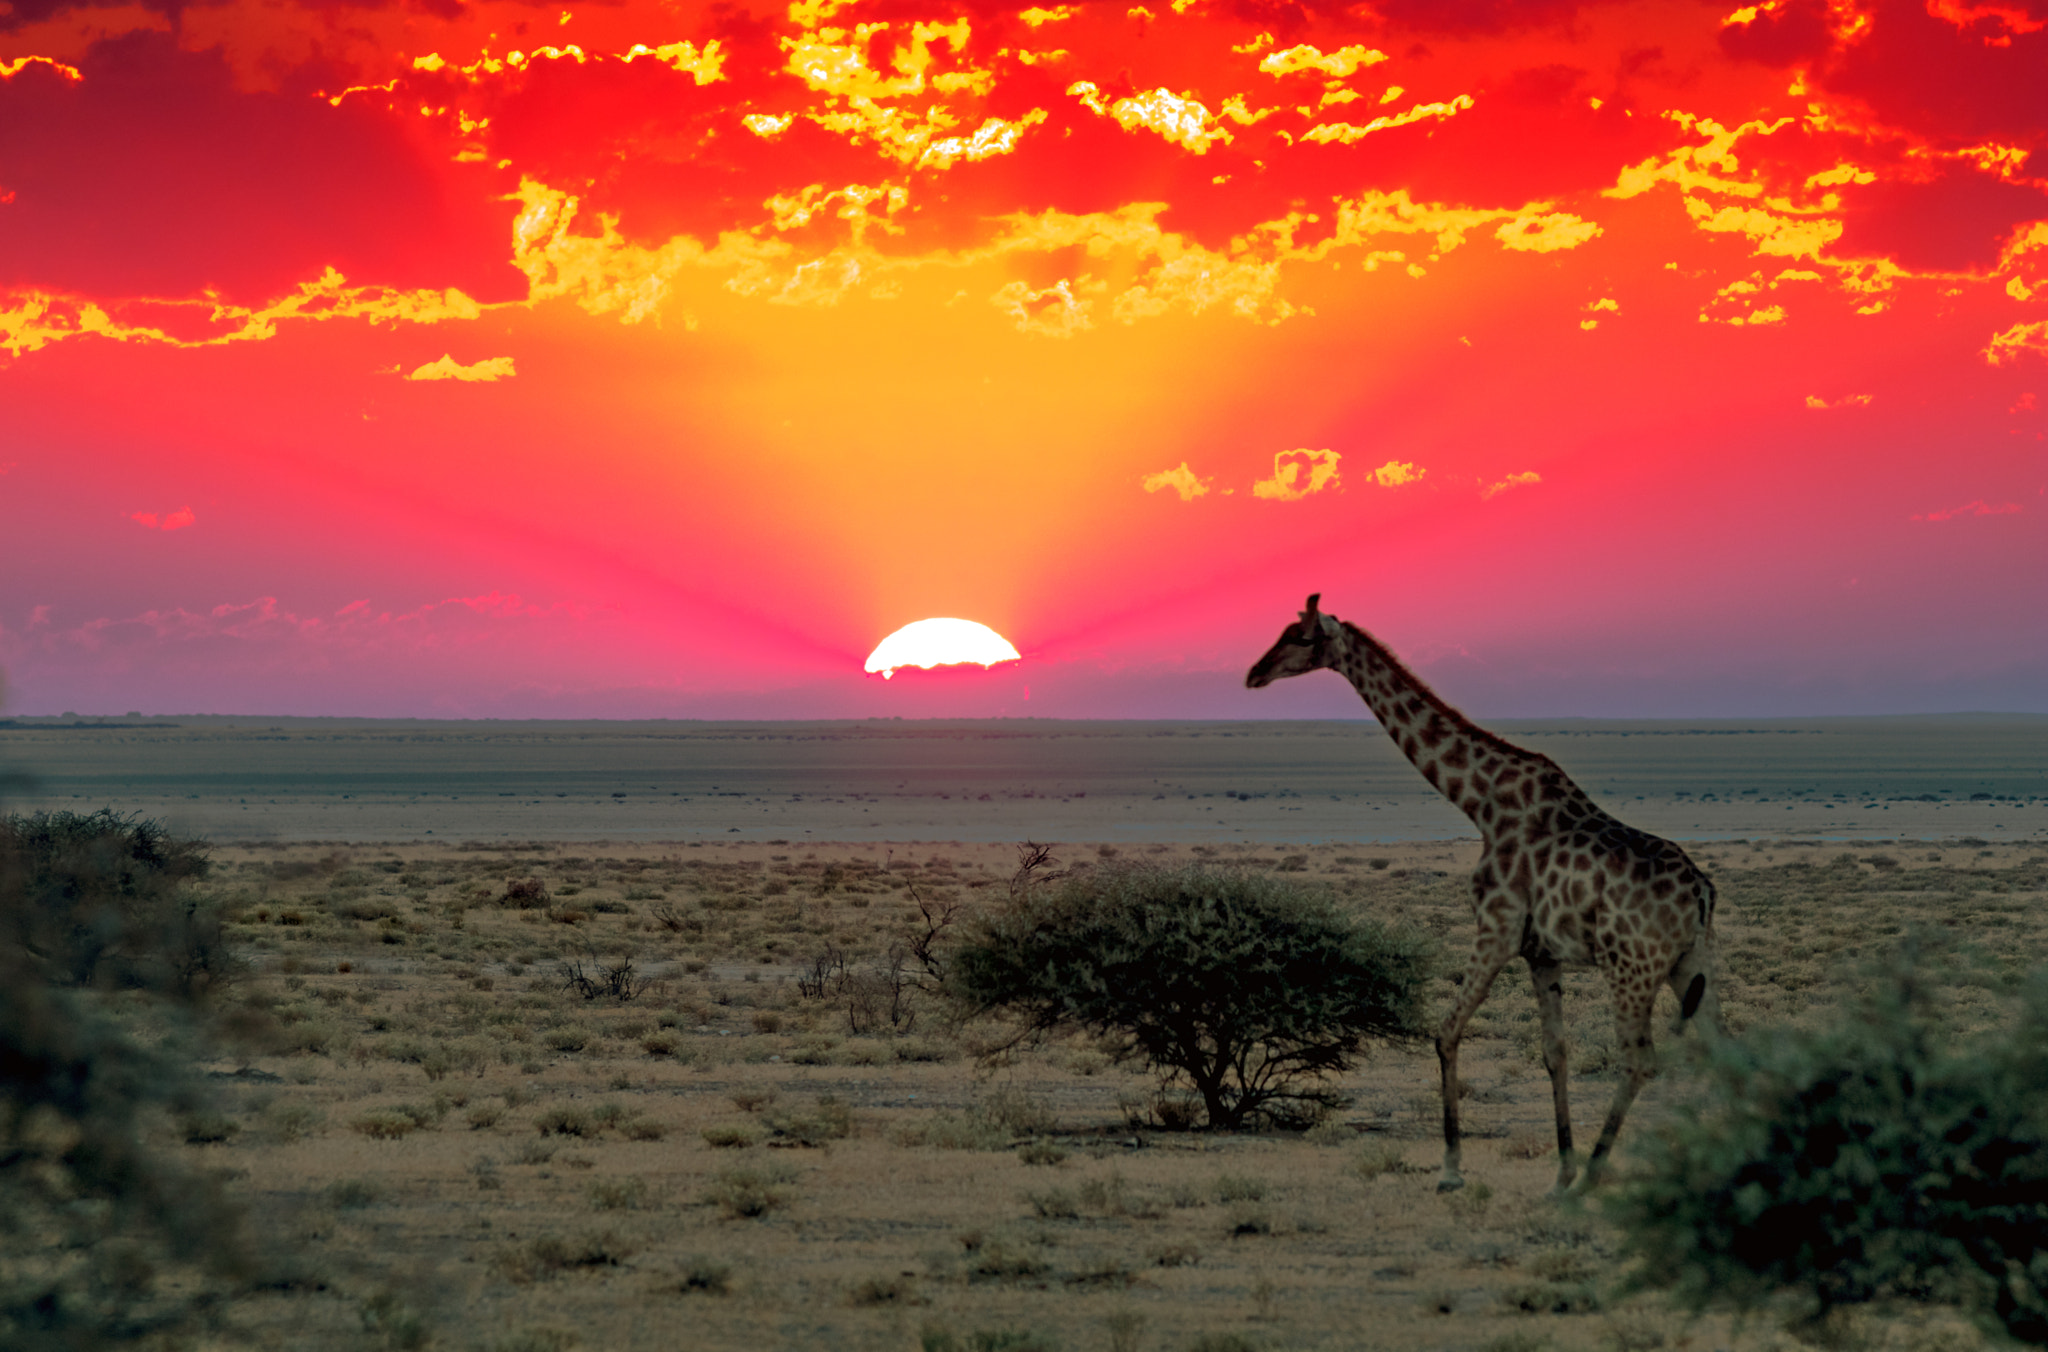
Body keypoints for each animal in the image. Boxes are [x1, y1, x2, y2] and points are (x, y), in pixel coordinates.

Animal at [1245, 589, 1712, 1196]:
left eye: (1301, 638)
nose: (1254, 674)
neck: (1481, 803)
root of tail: (1702, 895)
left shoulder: (1496, 930)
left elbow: (1445, 1033)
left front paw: (1452, 1168)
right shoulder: (1542, 953)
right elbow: (1555, 1053)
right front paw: (1558, 1169)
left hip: (1632, 967)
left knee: (1640, 1060)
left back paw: (1595, 1175)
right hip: (1690, 965)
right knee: (1722, 1048)